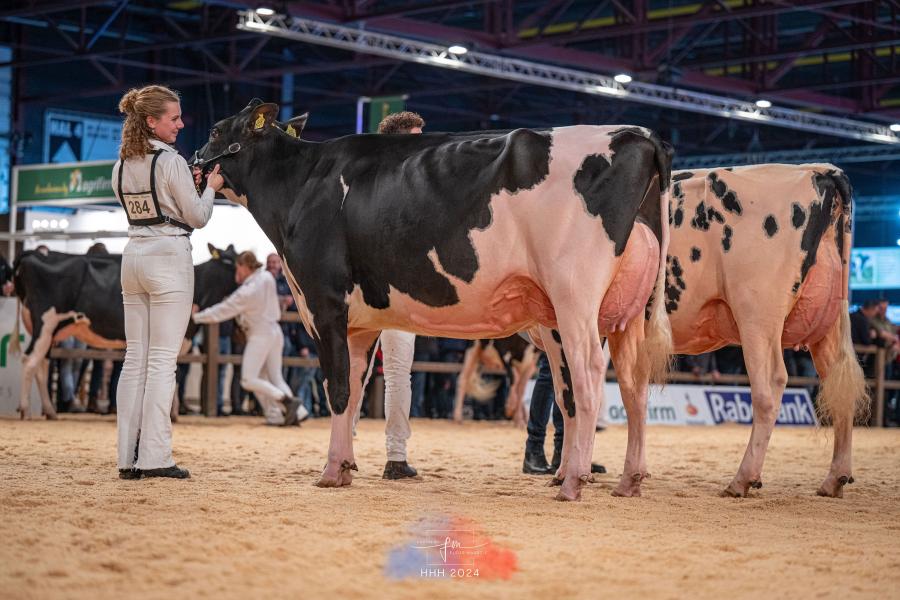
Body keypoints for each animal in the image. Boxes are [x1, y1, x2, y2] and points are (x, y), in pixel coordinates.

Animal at [199, 99, 676, 502]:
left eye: (216, 129)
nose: (194, 161)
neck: (302, 183)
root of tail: (638, 134)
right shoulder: (361, 322)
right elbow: (354, 391)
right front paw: (346, 465)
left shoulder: (323, 302)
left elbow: (336, 388)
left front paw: (331, 472)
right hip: (626, 313)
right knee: (631, 385)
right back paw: (629, 480)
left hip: (574, 297)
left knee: (589, 376)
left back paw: (574, 480)